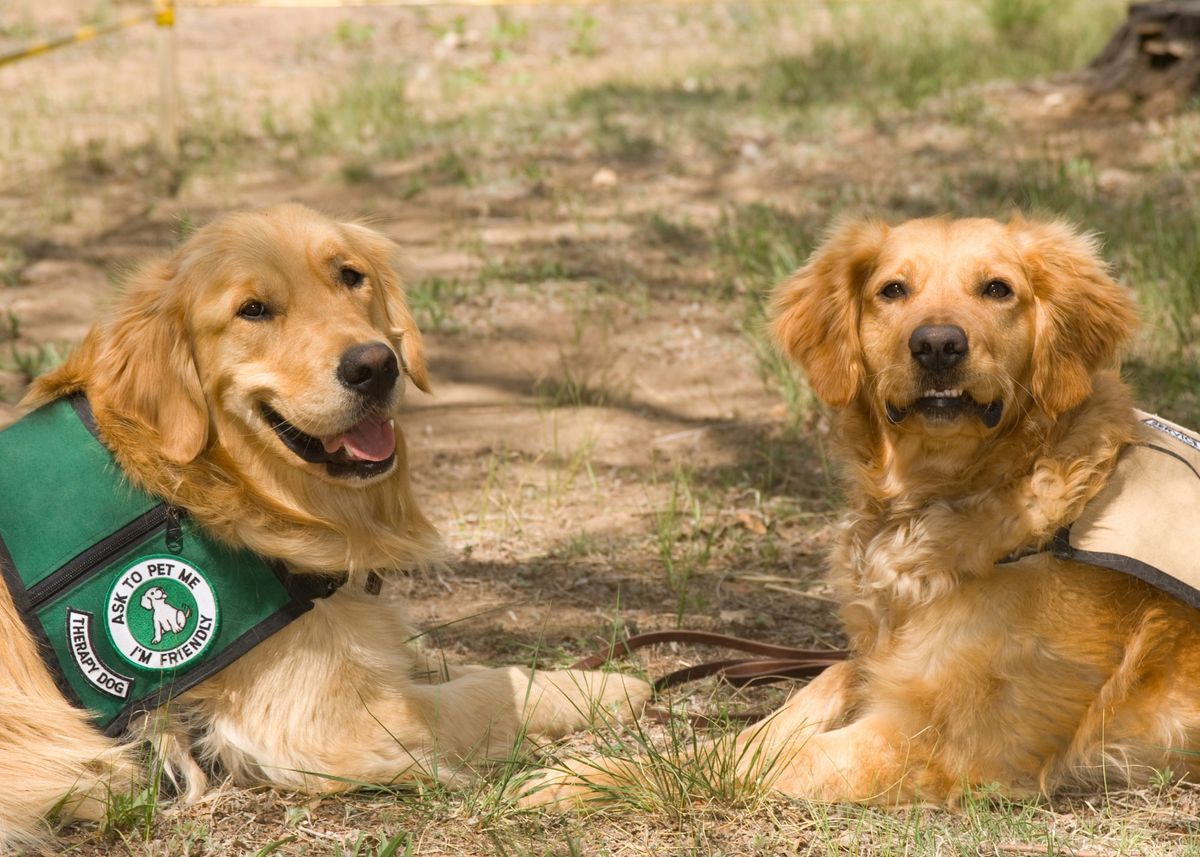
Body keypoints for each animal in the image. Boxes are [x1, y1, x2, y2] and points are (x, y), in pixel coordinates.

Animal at [0, 204, 648, 844]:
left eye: (350, 276)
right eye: (252, 310)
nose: (375, 365)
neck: (196, 486)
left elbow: (455, 664)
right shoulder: (332, 724)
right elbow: (489, 691)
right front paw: (614, 690)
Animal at [523, 217, 1200, 806]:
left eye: (998, 289)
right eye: (892, 290)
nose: (937, 345)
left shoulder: (939, 743)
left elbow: (748, 759)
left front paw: (593, 780)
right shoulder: (879, 663)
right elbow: (793, 706)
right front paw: (585, 771)